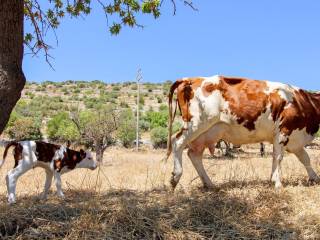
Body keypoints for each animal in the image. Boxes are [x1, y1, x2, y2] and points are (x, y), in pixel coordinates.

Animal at [166, 75, 318, 189]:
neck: (304, 101)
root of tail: (190, 79)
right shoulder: (283, 132)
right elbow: (278, 157)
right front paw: (277, 183)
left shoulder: (296, 140)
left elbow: (305, 158)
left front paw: (314, 178)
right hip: (196, 124)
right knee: (177, 141)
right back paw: (175, 178)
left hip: (206, 133)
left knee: (194, 154)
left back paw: (209, 184)